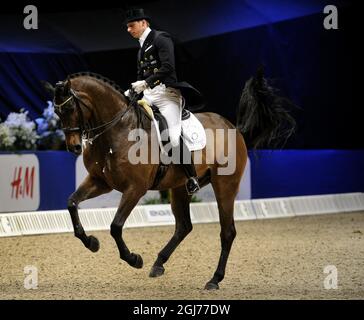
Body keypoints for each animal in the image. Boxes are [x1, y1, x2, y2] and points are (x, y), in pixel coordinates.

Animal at [44, 70, 296, 290]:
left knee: (227, 232)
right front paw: (91, 243)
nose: (74, 147)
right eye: (56, 112)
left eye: (69, 107)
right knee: (184, 226)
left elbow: (115, 226)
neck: (118, 130)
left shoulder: (135, 189)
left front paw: (134, 259)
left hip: (225, 186)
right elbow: (71, 203)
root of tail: (233, 127)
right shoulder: (100, 182)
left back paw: (214, 279)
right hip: (180, 188)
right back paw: (158, 264)